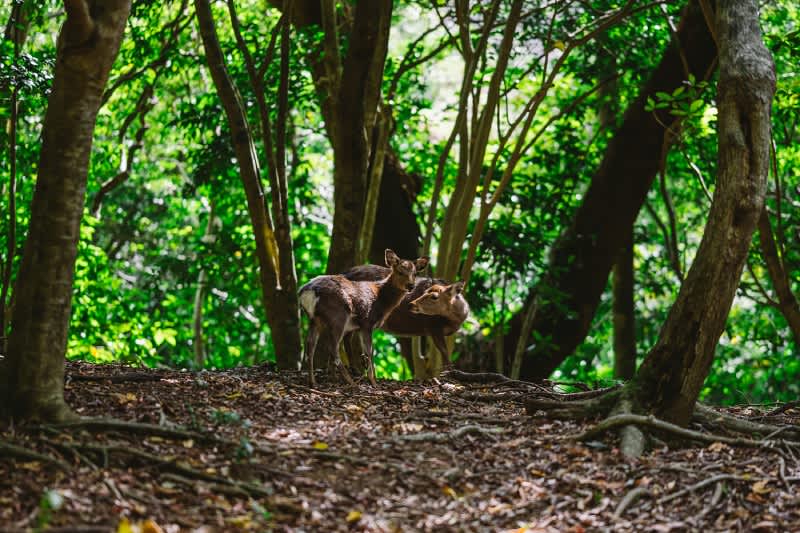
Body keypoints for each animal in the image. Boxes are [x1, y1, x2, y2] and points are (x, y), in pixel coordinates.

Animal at [298, 250, 429, 386]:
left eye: (415, 273)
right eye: (400, 271)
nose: (411, 285)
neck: (381, 300)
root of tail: (307, 292)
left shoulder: (359, 327)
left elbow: (368, 352)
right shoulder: (367, 322)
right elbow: (369, 351)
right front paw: (373, 381)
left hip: (314, 319)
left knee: (310, 346)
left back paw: (314, 381)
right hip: (338, 316)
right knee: (333, 348)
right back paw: (351, 381)